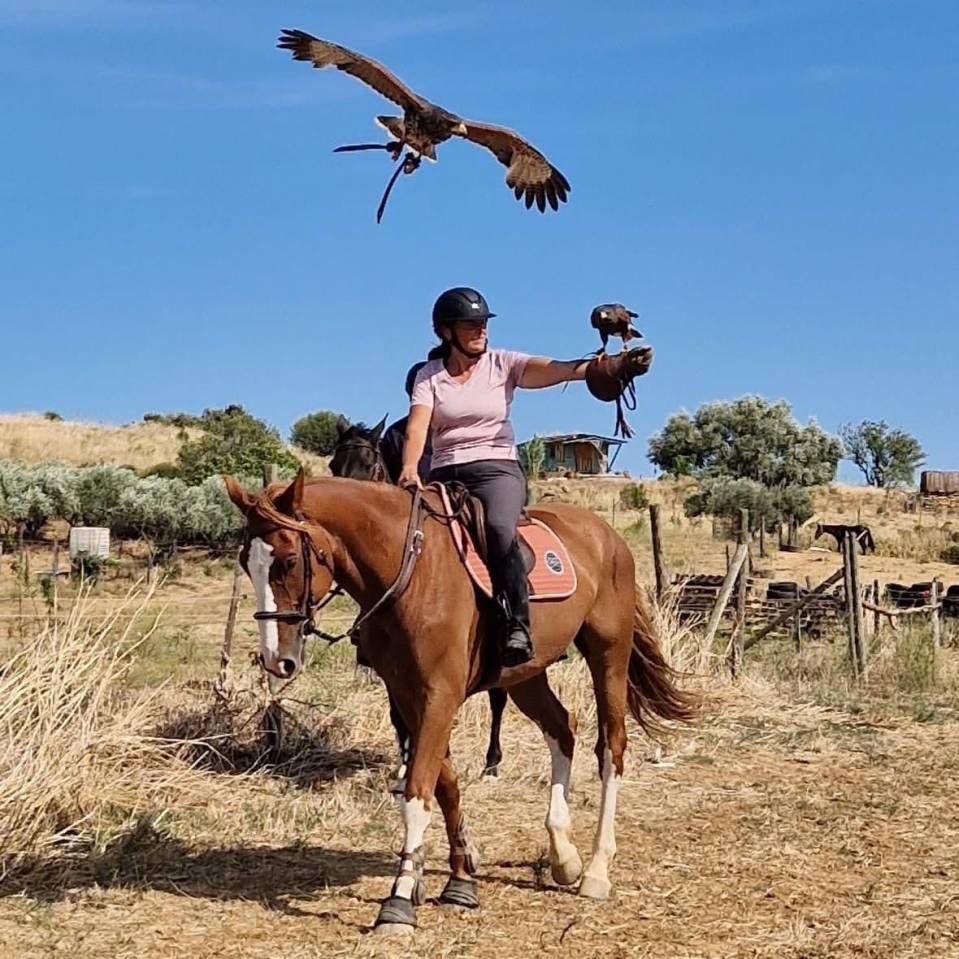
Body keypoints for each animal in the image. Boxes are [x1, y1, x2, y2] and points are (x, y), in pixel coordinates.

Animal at [224, 471, 696, 936]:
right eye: (247, 562)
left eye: (288, 561)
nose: (276, 659)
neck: (408, 569)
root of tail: (605, 535)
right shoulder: (406, 696)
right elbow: (445, 787)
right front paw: (460, 877)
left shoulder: (439, 695)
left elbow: (417, 793)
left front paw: (399, 899)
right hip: (526, 676)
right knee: (563, 729)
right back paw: (564, 857)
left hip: (608, 656)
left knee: (611, 748)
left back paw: (597, 870)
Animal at [329, 417, 509, 777]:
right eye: (332, 465)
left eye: (370, 465)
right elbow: (399, 715)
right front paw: (405, 763)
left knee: (498, 698)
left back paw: (492, 761)